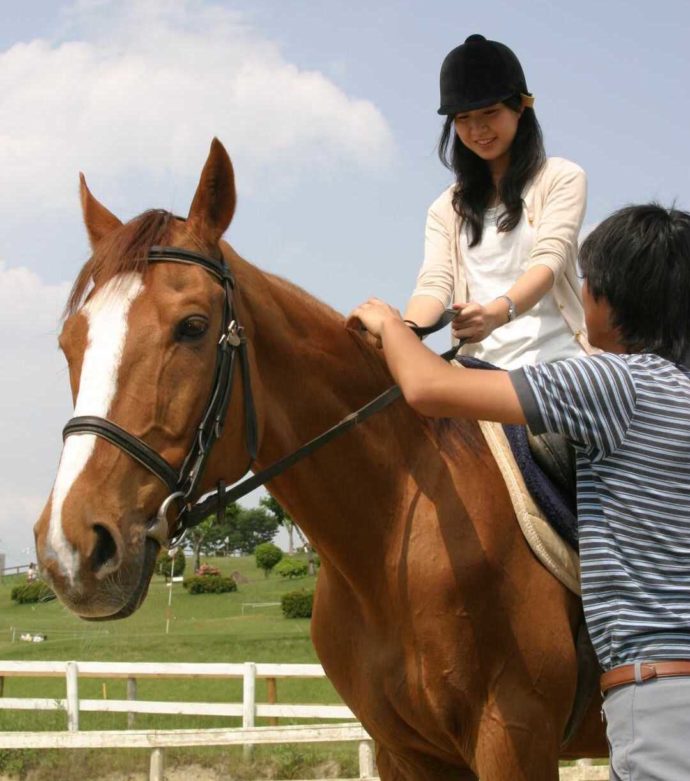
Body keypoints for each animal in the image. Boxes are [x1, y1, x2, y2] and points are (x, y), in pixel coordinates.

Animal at [34, 139, 606, 779]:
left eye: (193, 327)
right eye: (69, 343)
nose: (70, 550)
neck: (392, 540)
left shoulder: (515, 739)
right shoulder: (404, 751)